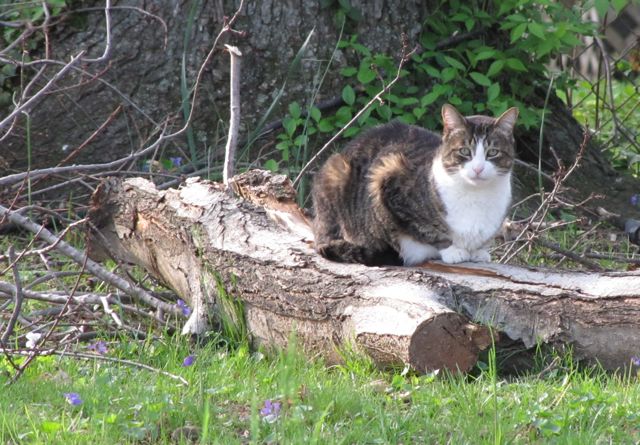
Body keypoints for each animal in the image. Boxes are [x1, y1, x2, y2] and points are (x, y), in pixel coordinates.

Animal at [312, 103, 520, 264]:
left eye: (493, 152)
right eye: (464, 151)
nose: (478, 169)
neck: (476, 195)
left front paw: (479, 251)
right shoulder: (387, 178)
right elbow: (427, 231)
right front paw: (452, 250)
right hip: (335, 173)